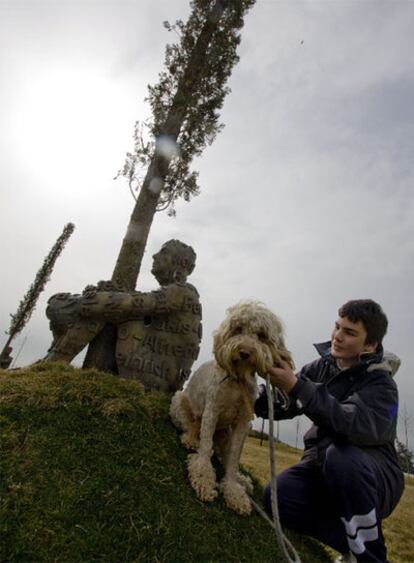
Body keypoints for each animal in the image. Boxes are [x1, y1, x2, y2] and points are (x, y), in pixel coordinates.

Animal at [170, 302, 292, 516]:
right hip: (179, 402)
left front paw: (234, 490)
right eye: (238, 329)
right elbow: (205, 450)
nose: (244, 352)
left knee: (225, 456)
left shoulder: (243, 422)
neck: (237, 382)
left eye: (261, 335)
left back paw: (243, 480)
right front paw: (203, 479)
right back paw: (191, 440)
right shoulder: (212, 411)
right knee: (192, 428)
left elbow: (234, 459)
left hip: (225, 433)